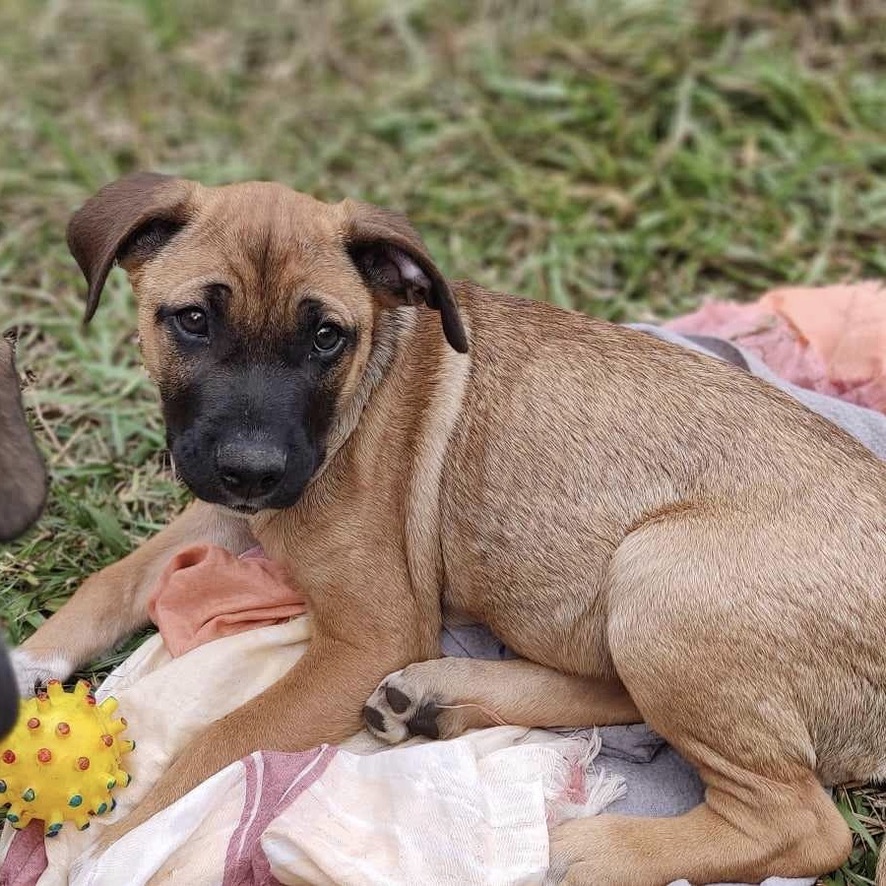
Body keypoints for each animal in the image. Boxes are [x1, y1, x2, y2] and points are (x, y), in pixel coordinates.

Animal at [13, 170, 886, 884]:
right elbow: (114, 580)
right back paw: (443, 697)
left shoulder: (371, 635)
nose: (254, 470)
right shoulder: (228, 509)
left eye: (326, 336)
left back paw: (578, 853)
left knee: (802, 827)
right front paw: (25, 665)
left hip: (663, 573)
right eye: (192, 320)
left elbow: (222, 741)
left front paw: (112, 851)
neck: (363, 393)